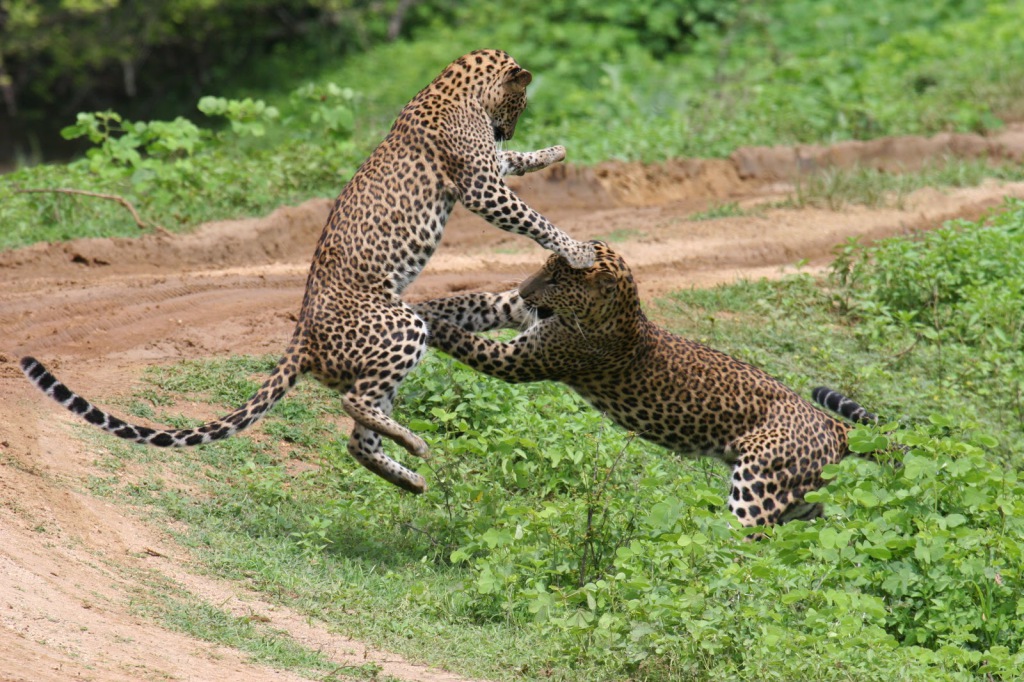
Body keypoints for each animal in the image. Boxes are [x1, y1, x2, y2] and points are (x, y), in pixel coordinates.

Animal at [19, 47, 593, 493]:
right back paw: (415, 445)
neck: (453, 83)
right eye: (519, 102)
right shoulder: (479, 185)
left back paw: (410, 476)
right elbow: (532, 217)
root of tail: (303, 335)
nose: (507, 127)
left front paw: (553, 150)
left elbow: (515, 163)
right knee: (354, 404)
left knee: (358, 437)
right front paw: (578, 250)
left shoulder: (489, 169)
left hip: (388, 351)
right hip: (402, 326)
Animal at [411, 240, 884, 532]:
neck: (620, 310)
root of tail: (830, 424)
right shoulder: (510, 310)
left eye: (557, 280)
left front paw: (423, 322)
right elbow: (467, 302)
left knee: (743, 538)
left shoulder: (523, 359)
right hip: (800, 495)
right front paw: (413, 304)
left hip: (758, 484)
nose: (527, 291)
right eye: (543, 269)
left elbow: (463, 337)